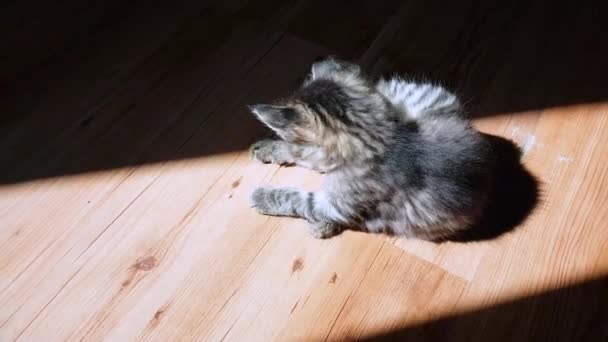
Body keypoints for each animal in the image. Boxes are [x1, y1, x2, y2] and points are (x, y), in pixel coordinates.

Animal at [247, 58, 494, 240]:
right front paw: (272, 148)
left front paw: (262, 196)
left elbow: (297, 198)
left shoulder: (336, 205)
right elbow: (302, 155)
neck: (378, 142)